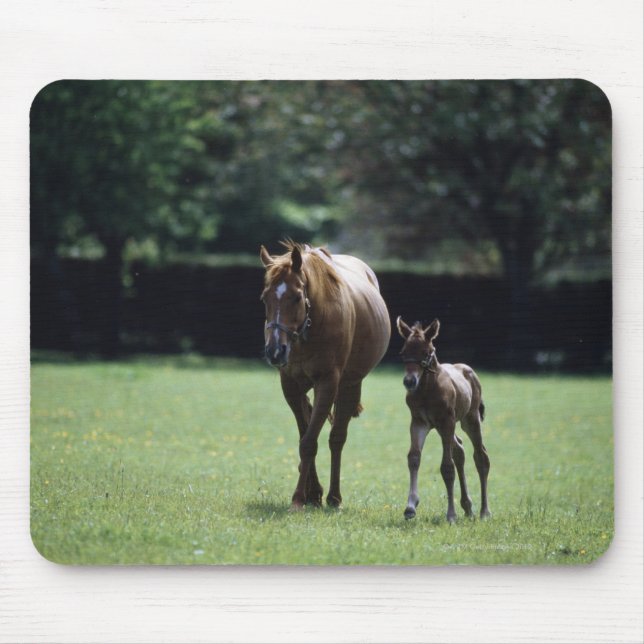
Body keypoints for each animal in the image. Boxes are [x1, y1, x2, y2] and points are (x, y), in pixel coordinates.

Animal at [260, 241, 391, 511]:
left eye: (297, 297)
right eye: (264, 298)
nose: (275, 351)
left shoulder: (328, 383)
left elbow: (310, 442)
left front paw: (298, 498)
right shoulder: (290, 386)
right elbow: (305, 435)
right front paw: (310, 493)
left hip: (350, 385)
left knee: (337, 438)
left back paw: (334, 497)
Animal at [396, 316, 491, 523]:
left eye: (426, 352)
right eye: (403, 352)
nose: (409, 381)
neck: (427, 390)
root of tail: (469, 370)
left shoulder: (447, 421)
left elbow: (447, 467)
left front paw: (451, 515)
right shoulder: (419, 422)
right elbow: (414, 458)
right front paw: (410, 507)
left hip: (469, 419)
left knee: (481, 456)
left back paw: (484, 512)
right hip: (444, 427)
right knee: (460, 450)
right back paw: (468, 507)